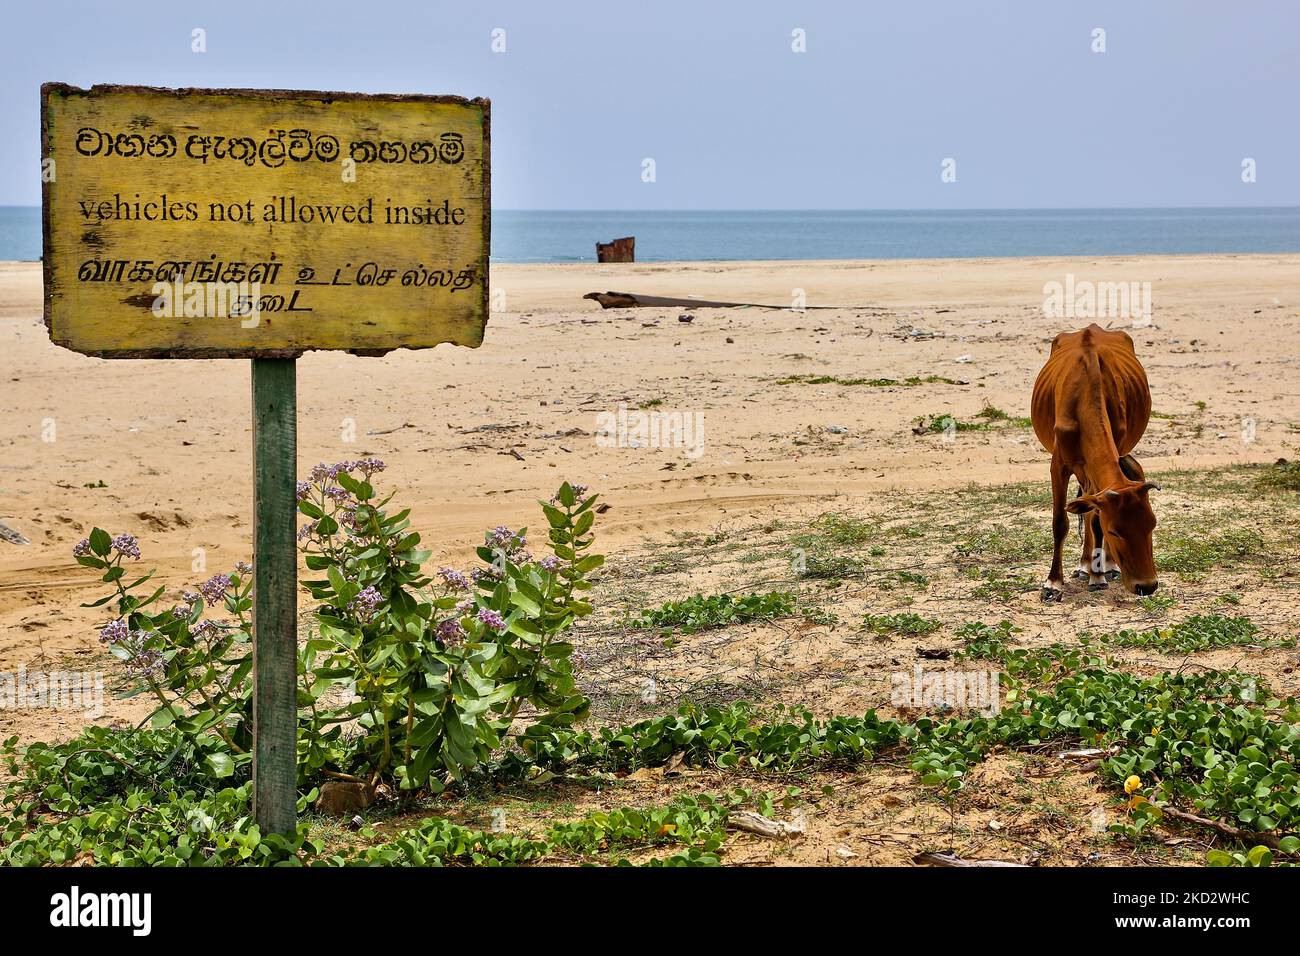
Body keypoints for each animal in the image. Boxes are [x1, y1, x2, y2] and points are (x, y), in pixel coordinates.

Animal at [1034, 325, 1159, 600]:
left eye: (1152, 525)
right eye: (1115, 531)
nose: (1147, 586)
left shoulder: (1114, 452)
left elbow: (1093, 517)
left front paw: (1098, 575)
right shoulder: (1059, 465)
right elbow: (1061, 521)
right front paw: (1053, 582)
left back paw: (1104, 566)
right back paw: (1084, 565)